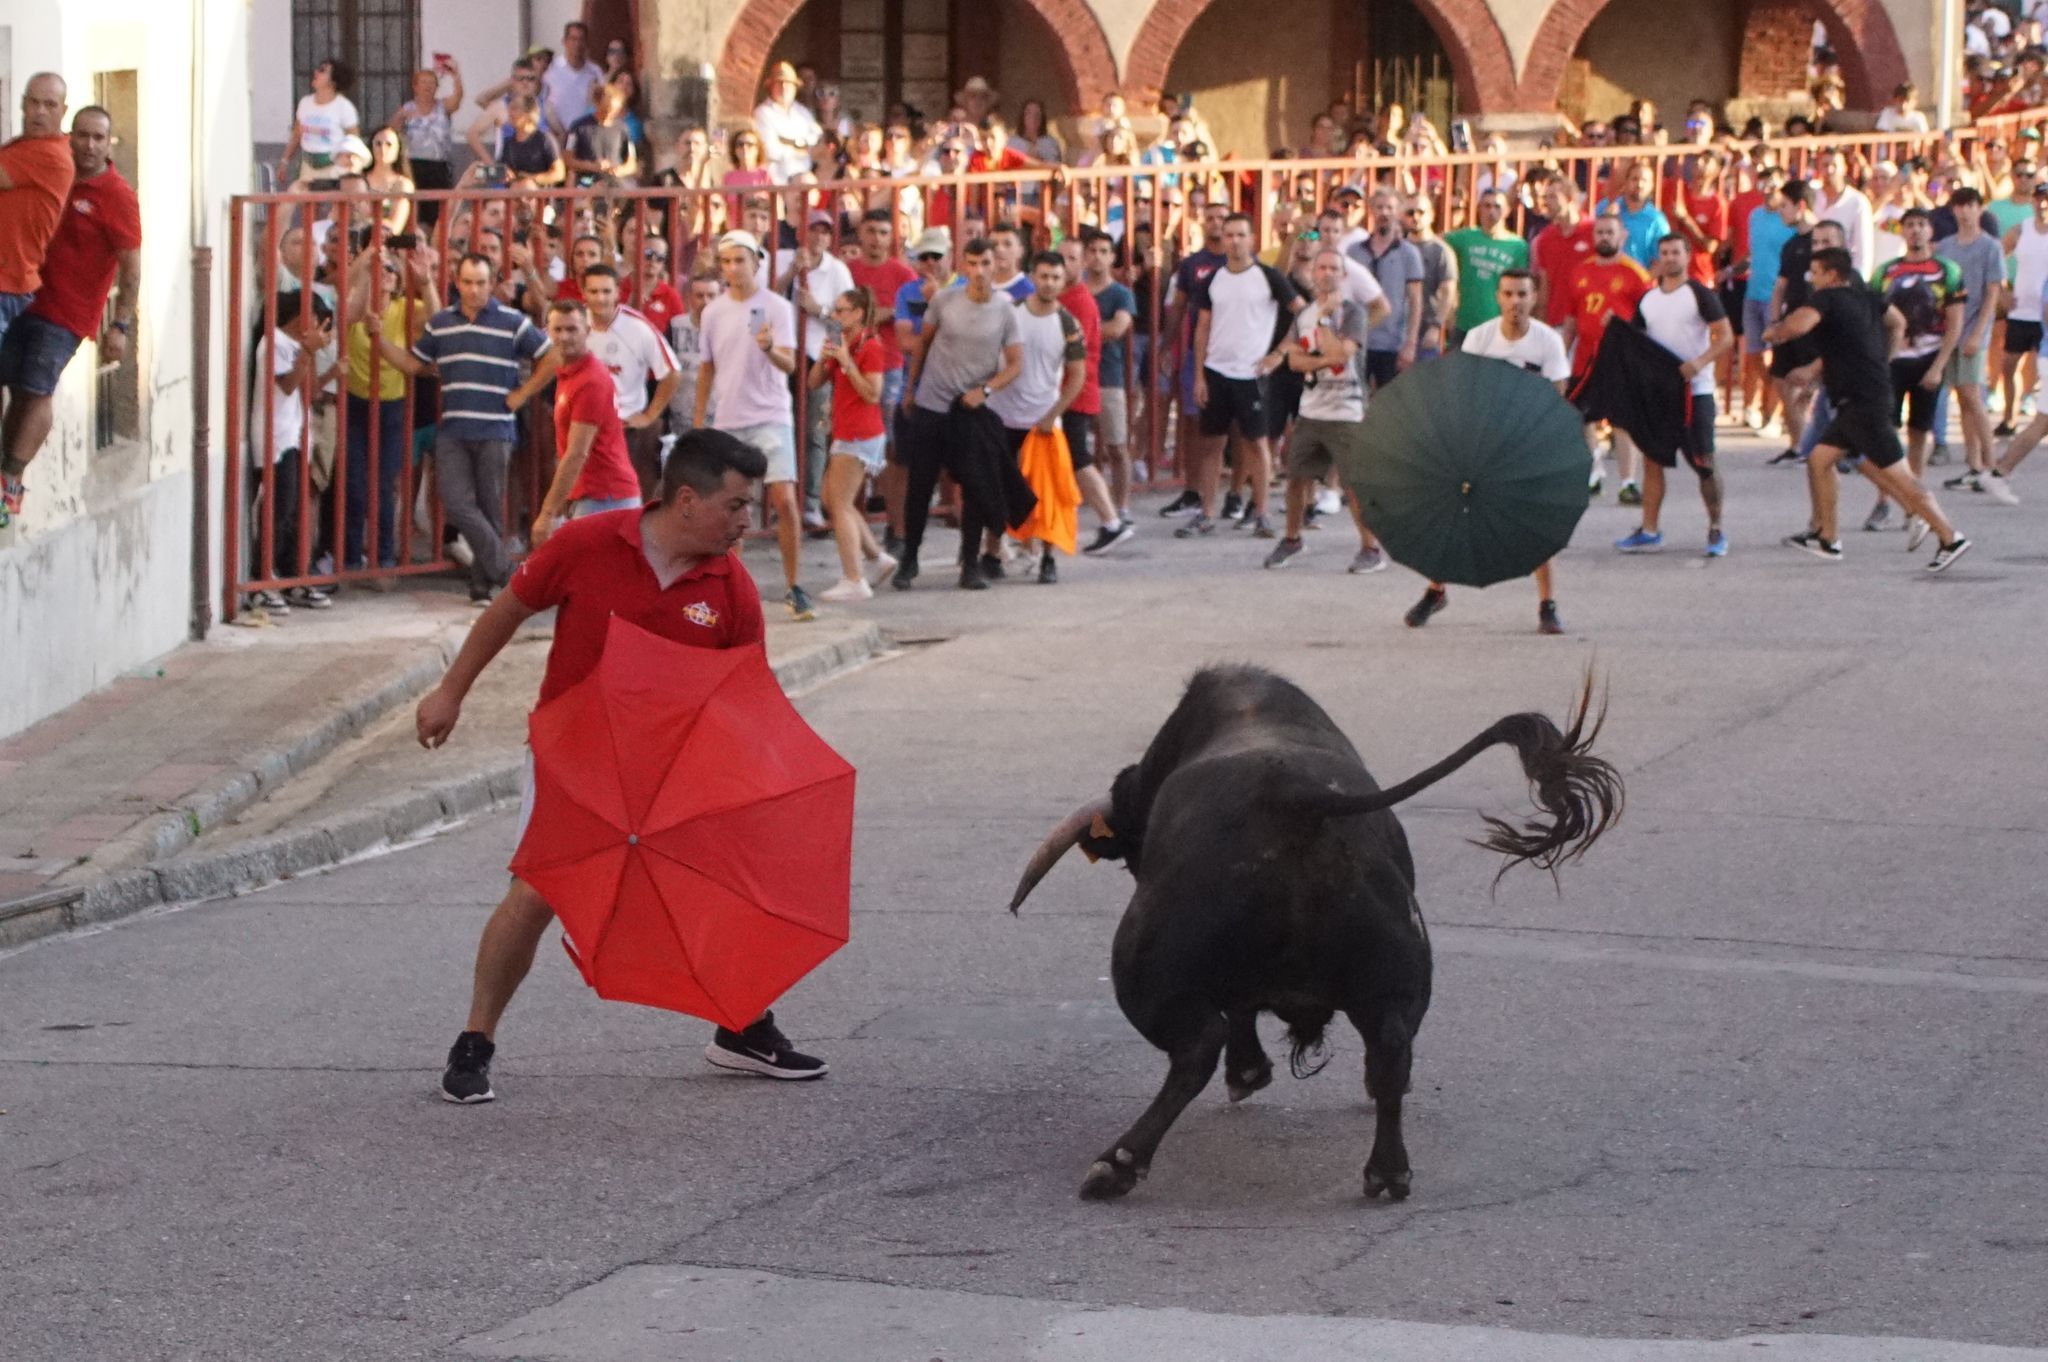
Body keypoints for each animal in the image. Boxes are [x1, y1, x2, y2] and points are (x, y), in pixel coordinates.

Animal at [1015, 663, 1622, 1196]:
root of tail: (1295, 799)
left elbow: (1235, 1016)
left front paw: (1247, 1073)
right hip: (1397, 975)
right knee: (1390, 1051)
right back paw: (1388, 1172)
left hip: (1143, 971)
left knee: (1197, 1047)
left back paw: (1117, 1165)